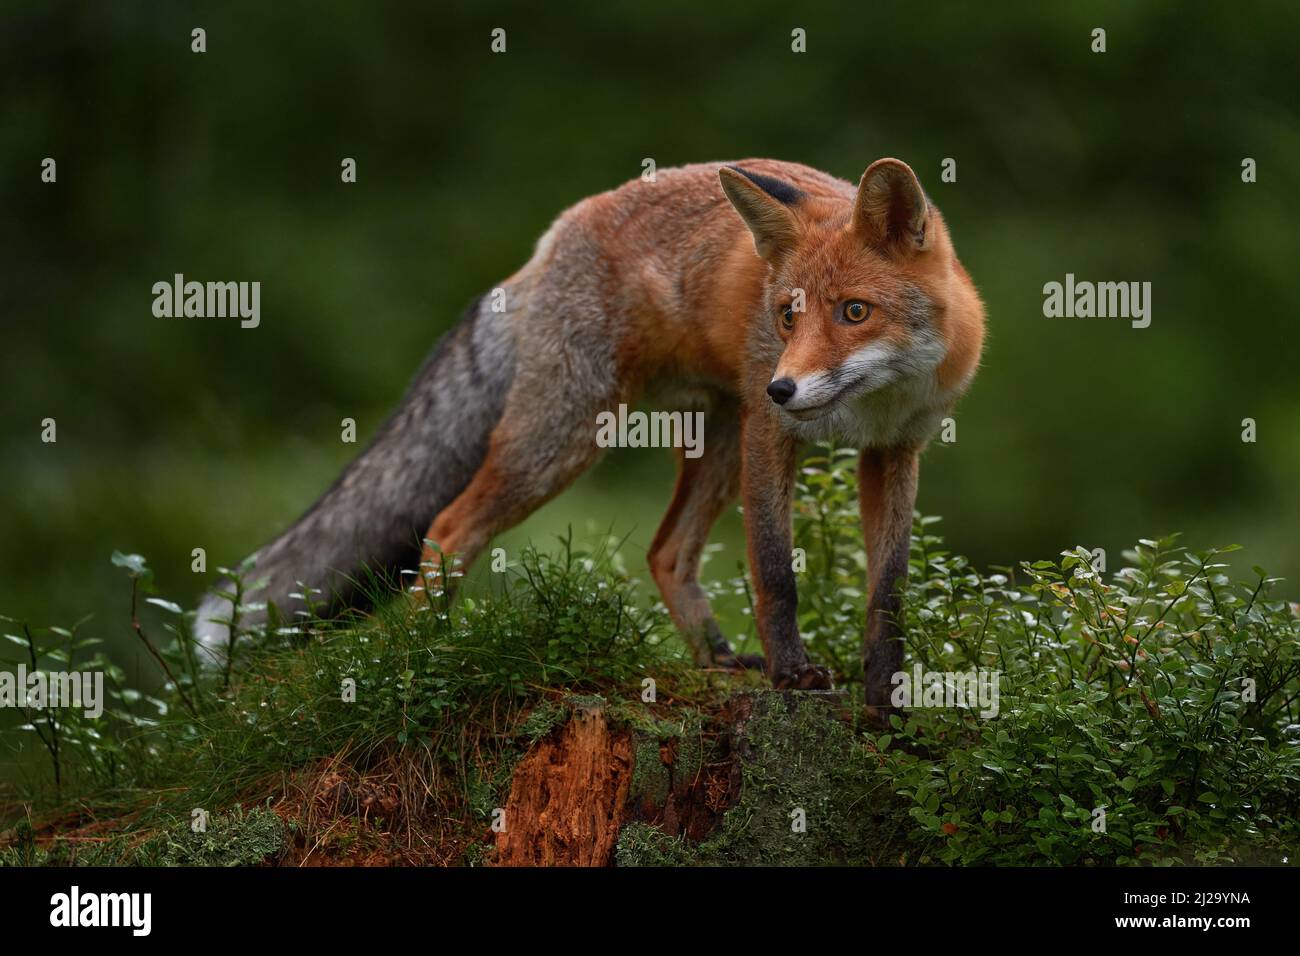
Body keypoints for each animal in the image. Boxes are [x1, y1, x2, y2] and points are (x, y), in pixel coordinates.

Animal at [196, 157, 985, 710]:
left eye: (854, 311)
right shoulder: (774, 436)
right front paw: (793, 674)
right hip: (569, 439)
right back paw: (423, 655)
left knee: (666, 553)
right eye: (788, 316)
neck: (874, 404)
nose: (781, 387)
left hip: (716, 442)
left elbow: (888, 592)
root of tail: (553, 236)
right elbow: (775, 573)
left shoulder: (895, 453)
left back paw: (717, 659)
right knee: (448, 528)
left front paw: (887, 697)